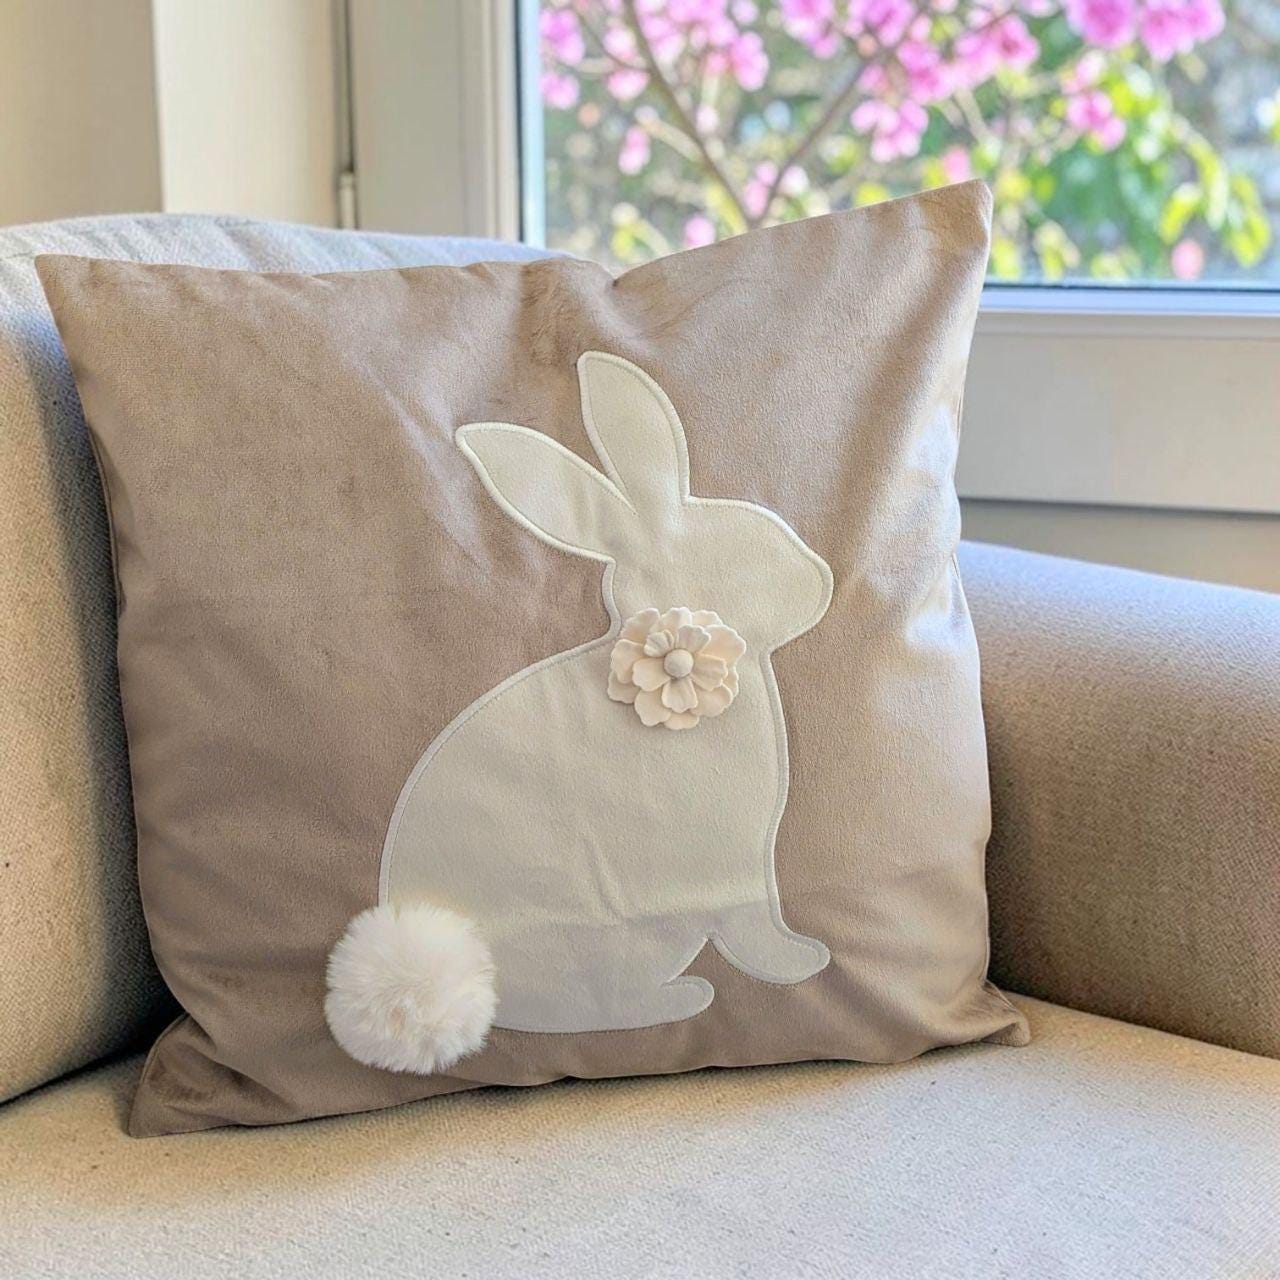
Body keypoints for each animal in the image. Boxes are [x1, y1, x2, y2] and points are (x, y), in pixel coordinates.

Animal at [375, 352, 833, 1036]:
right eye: (756, 554)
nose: (815, 578)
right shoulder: (736, 868)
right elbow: (752, 924)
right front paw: (799, 963)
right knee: (599, 1003)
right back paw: (685, 999)